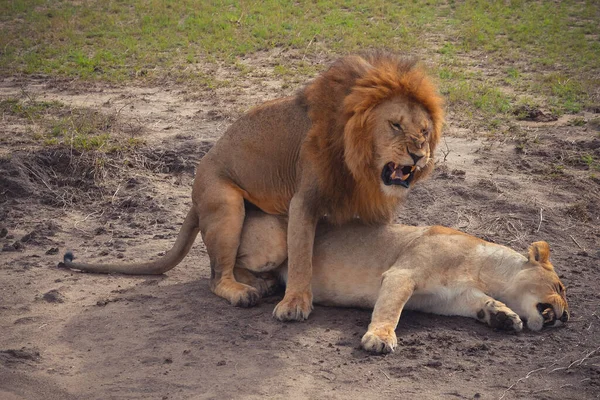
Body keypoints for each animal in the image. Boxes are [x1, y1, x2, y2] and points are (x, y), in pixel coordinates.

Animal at [63, 52, 442, 322]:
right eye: (395, 125)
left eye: (424, 131)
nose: (418, 154)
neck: (361, 165)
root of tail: (194, 197)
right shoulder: (304, 200)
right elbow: (302, 257)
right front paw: (295, 304)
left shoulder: (374, 208)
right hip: (227, 205)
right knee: (217, 275)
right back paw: (245, 291)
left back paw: (264, 283)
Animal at [234, 212, 572, 354]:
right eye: (559, 287)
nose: (567, 317)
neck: (483, 270)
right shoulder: (402, 273)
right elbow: (390, 310)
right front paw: (379, 339)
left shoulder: (452, 299)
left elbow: (484, 303)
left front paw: (503, 317)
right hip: (275, 245)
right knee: (229, 261)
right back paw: (254, 288)